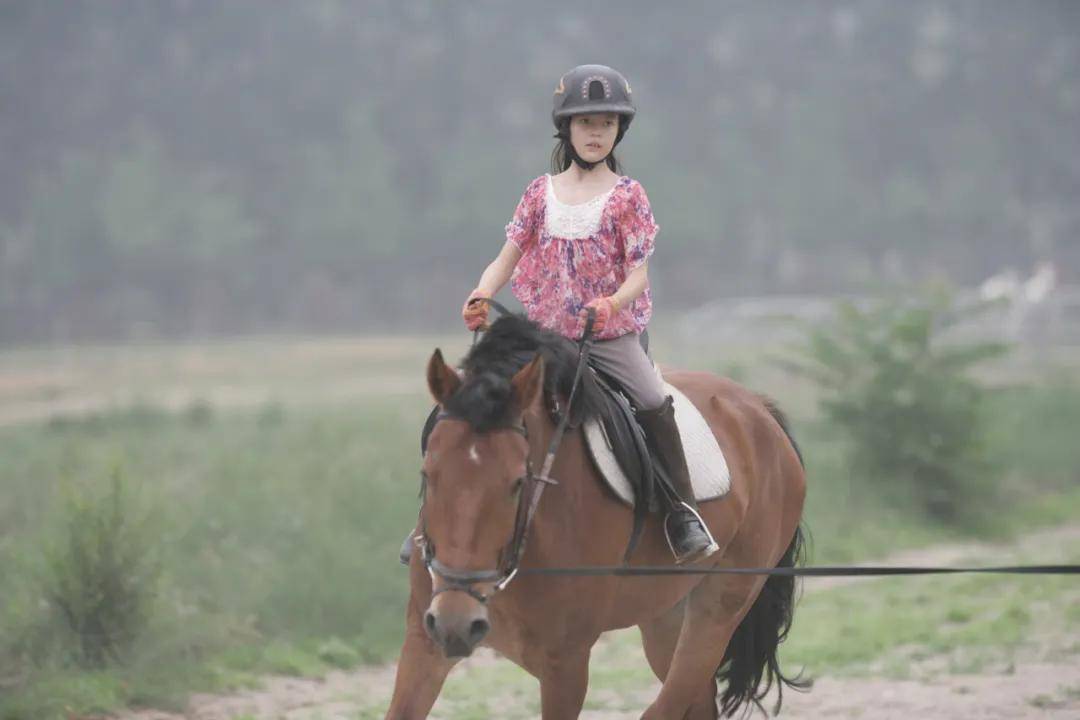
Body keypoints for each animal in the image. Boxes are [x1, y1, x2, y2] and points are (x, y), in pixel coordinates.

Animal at [384, 319, 807, 720]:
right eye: (427, 474)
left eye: (518, 482)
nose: (457, 622)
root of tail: (758, 409)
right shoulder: (424, 642)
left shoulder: (565, 664)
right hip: (666, 617)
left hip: (719, 606)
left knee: (671, 703)